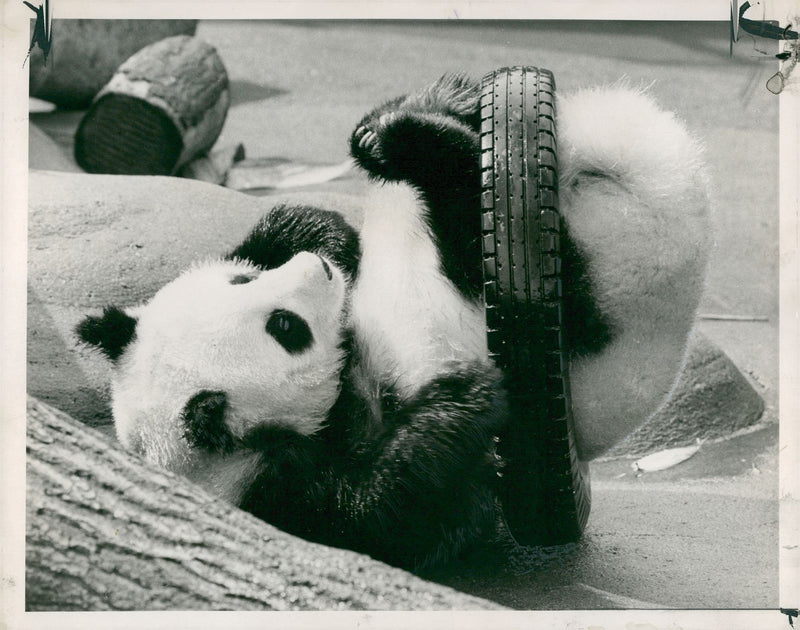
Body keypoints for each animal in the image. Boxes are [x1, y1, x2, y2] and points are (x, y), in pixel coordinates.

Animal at [76, 74, 708, 572]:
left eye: (242, 284)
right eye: (286, 328)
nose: (315, 270)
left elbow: (305, 221)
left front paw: (322, 235)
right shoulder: (277, 496)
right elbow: (389, 514)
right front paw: (466, 397)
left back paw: (414, 127)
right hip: (579, 318)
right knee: (516, 259)